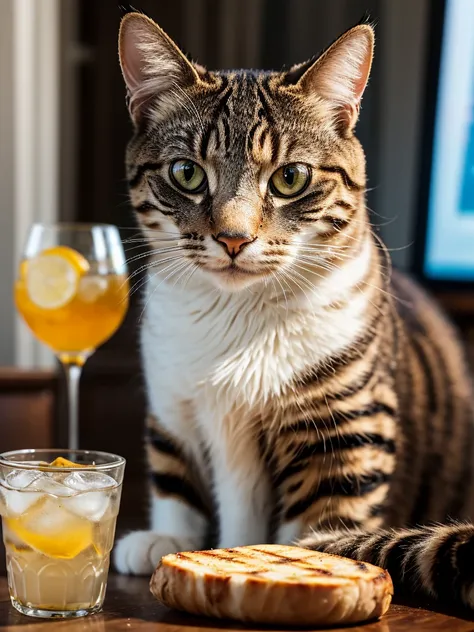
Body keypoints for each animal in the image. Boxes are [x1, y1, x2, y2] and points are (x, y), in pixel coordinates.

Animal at [114, 9, 474, 608]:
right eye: (187, 173)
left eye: (290, 178)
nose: (233, 238)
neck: (234, 319)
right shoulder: (172, 400)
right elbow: (174, 471)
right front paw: (168, 537)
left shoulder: (347, 431)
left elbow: (321, 521)